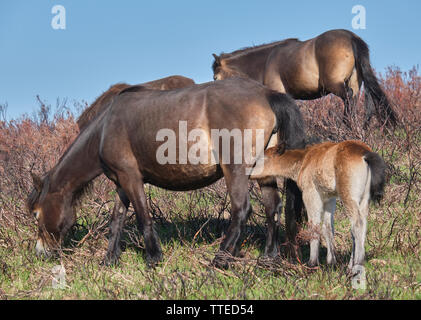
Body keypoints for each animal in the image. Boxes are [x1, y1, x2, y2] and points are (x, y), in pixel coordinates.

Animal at [27, 77, 306, 268]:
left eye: (37, 214)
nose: (40, 252)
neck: (105, 128)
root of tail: (266, 93)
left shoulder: (131, 178)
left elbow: (143, 217)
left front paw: (153, 258)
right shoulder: (121, 183)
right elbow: (117, 220)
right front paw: (109, 259)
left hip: (235, 170)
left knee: (241, 210)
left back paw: (219, 259)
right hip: (263, 171)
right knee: (273, 208)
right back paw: (268, 257)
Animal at [213, 28, 398, 127]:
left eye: (215, 77)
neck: (266, 61)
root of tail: (350, 37)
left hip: (335, 84)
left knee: (348, 99)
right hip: (355, 81)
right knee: (362, 102)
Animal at [251, 140, 386, 270]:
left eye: (262, 158)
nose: (250, 173)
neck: (304, 160)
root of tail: (365, 154)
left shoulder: (311, 194)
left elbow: (314, 225)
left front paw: (312, 262)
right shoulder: (329, 198)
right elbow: (327, 227)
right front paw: (331, 263)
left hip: (348, 197)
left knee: (357, 224)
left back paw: (355, 267)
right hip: (364, 200)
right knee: (360, 226)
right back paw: (351, 265)